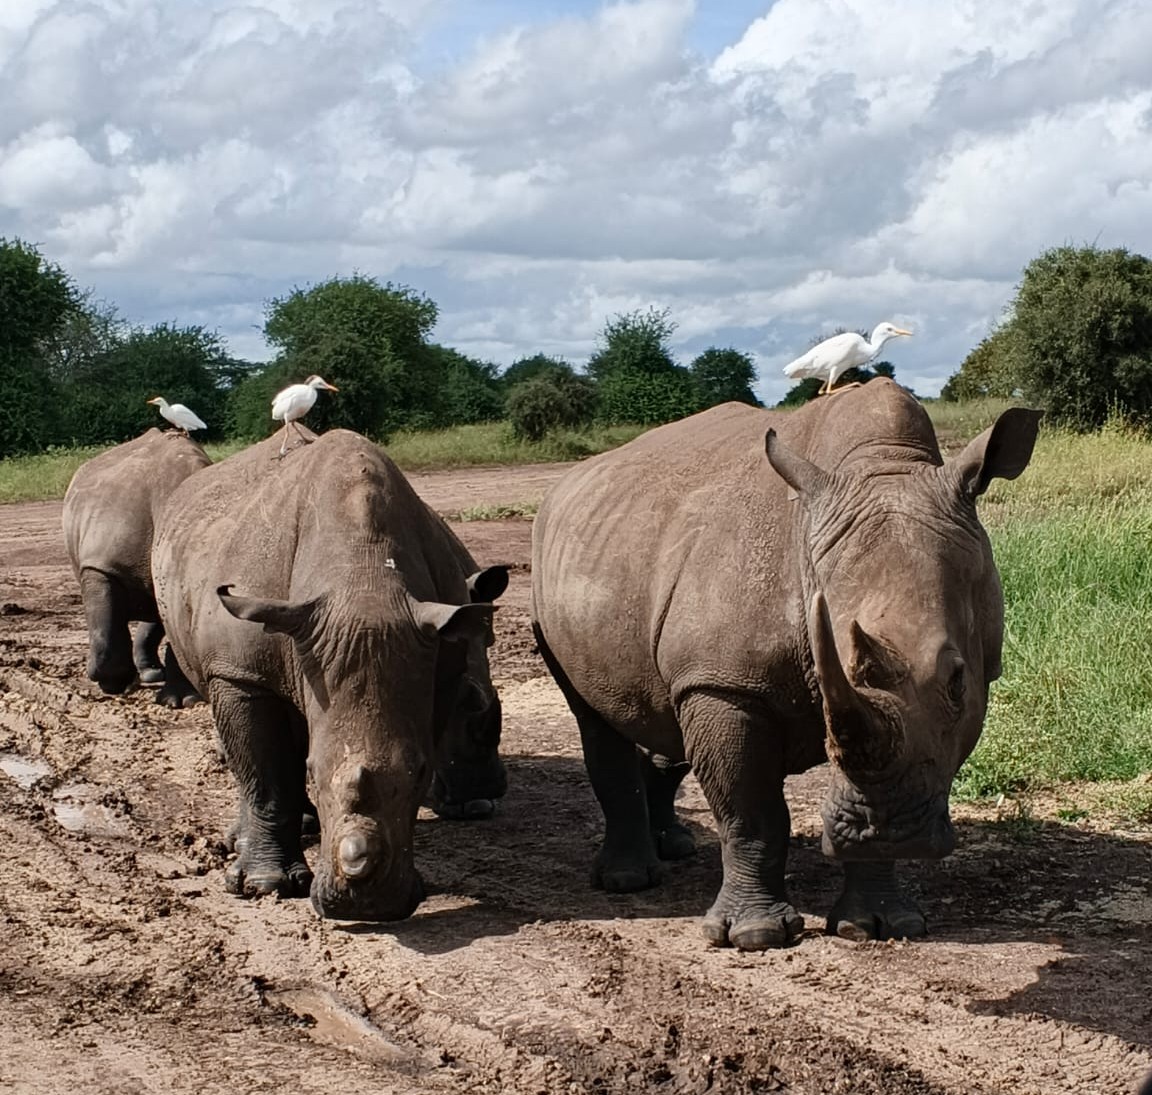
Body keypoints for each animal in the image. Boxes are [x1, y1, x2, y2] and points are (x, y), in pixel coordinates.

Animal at [152, 429, 508, 920]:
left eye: (420, 773)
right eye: (313, 771)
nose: (366, 906)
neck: (364, 579)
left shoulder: (439, 664)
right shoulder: (241, 670)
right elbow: (265, 773)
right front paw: (264, 887)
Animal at [531, 379, 1040, 949]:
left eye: (958, 683)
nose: (885, 831)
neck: (882, 465)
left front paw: (881, 925)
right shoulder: (723, 683)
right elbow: (749, 810)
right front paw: (755, 936)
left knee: (656, 716)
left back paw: (674, 849)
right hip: (552, 590)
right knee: (594, 717)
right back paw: (627, 881)